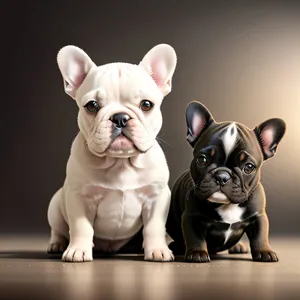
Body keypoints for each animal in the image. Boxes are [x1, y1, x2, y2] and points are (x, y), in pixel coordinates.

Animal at [47, 43, 177, 262]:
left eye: (146, 105)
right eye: (92, 106)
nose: (120, 117)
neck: (121, 162)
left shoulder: (157, 197)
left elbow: (154, 227)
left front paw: (158, 250)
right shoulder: (79, 196)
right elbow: (81, 226)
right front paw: (78, 250)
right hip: (55, 205)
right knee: (58, 229)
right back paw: (57, 244)